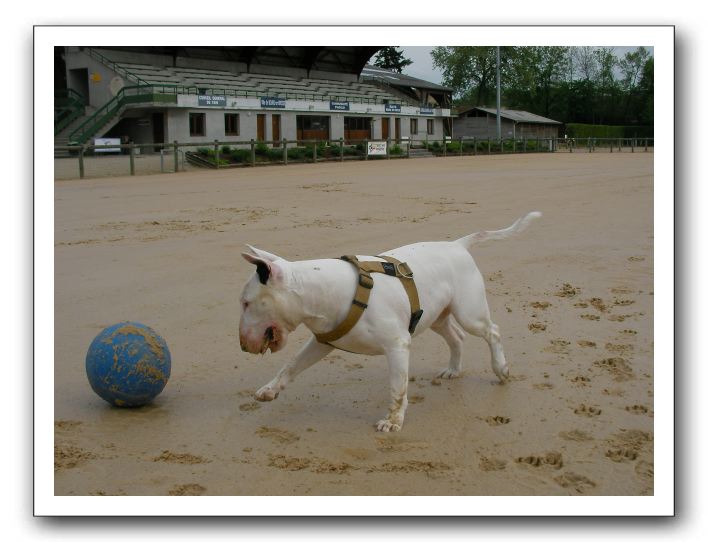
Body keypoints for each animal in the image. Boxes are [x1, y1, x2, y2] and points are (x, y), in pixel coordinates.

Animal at [238, 212, 544, 434]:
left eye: (246, 303)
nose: (242, 346)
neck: (325, 290)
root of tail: (457, 244)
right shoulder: (323, 342)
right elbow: (291, 365)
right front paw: (269, 390)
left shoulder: (398, 345)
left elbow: (398, 387)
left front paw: (393, 421)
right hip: (436, 317)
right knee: (457, 338)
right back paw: (453, 370)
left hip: (469, 312)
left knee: (492, 331)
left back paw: (501, 369)